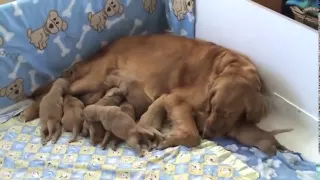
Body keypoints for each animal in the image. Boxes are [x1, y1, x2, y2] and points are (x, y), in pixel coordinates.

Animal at [21, 34, 268, 148]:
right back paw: (31, 109)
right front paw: (171, 139)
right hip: (93, 79)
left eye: (229, 113)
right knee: (58, 87)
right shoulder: (175, 99)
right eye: (213, 107)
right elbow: (192, 136)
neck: (228, 66)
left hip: (96, 88)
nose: (209, 132)